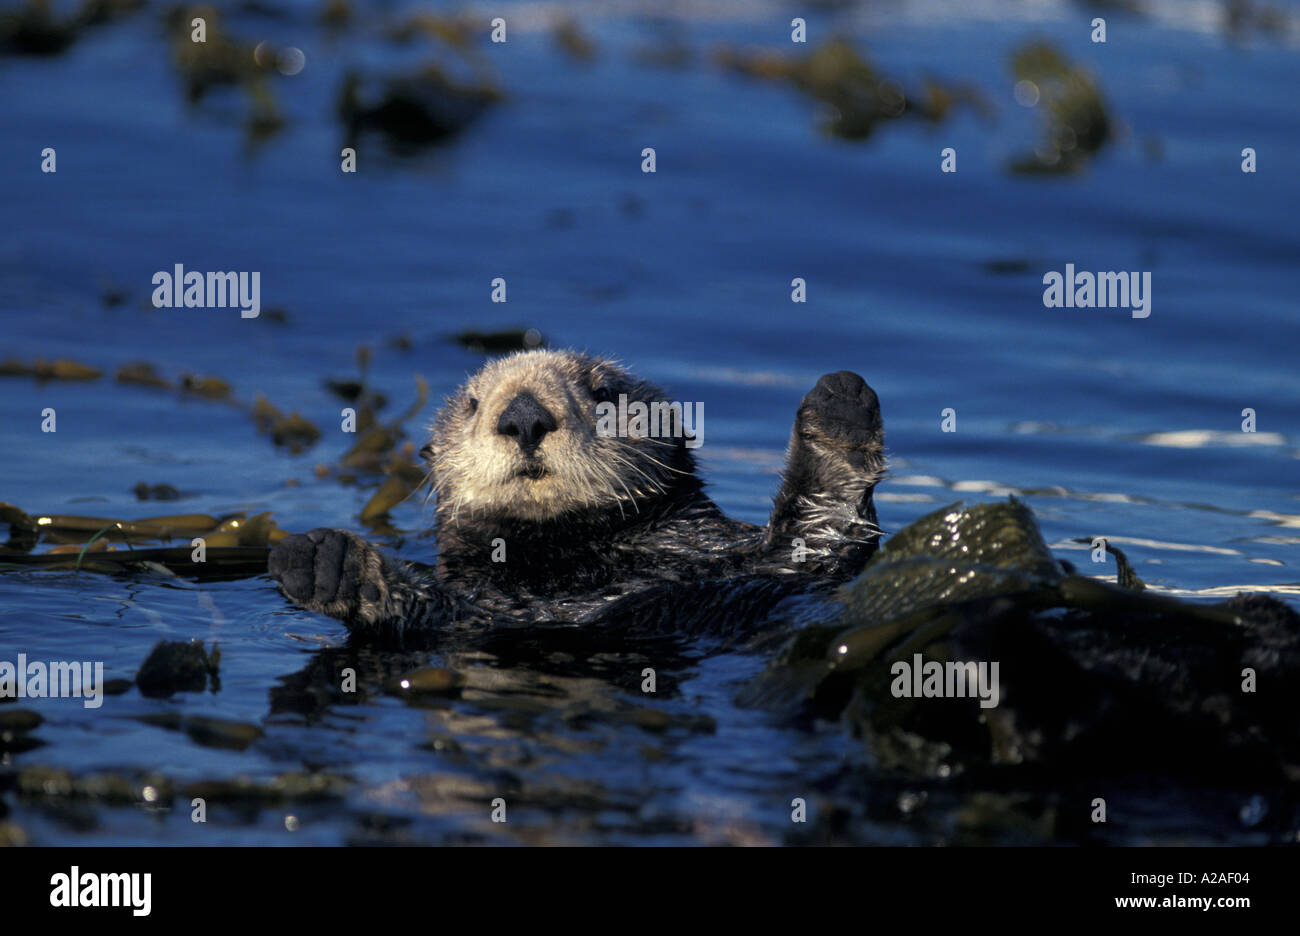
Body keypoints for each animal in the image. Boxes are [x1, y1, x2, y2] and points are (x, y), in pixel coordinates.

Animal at [270, 351, 889, 644]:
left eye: (604, 392)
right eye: (472, 403)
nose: (522, 416)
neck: (577, 554)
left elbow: (823, 535)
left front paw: (840, 404)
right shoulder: (486, 612)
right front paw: (329, 563)